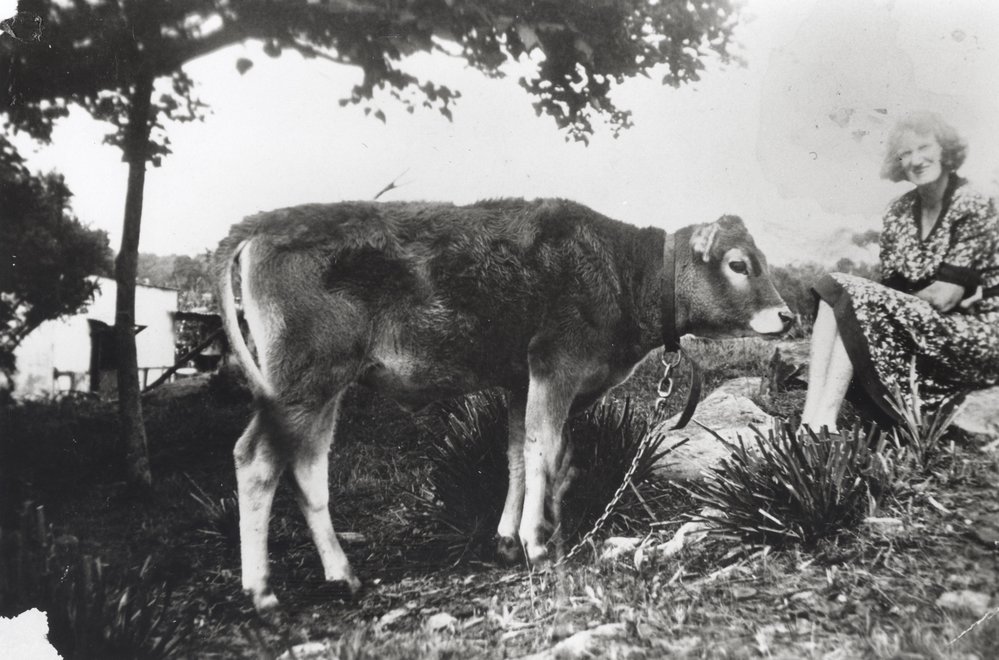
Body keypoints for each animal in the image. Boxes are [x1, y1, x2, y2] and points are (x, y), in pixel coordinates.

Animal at [215, 198, 792, 610]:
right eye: (739, 264)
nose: (787, 316)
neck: (621, 272)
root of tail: (263, 223)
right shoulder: (556, 364)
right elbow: (545, 449)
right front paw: (538, 542)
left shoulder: (520, 381)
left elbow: (519, 454)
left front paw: (512, 538)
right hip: (305, 377)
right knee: (256, 459)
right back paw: (264, 593)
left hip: (321, 385)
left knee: (308, 467)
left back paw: (342, 576)